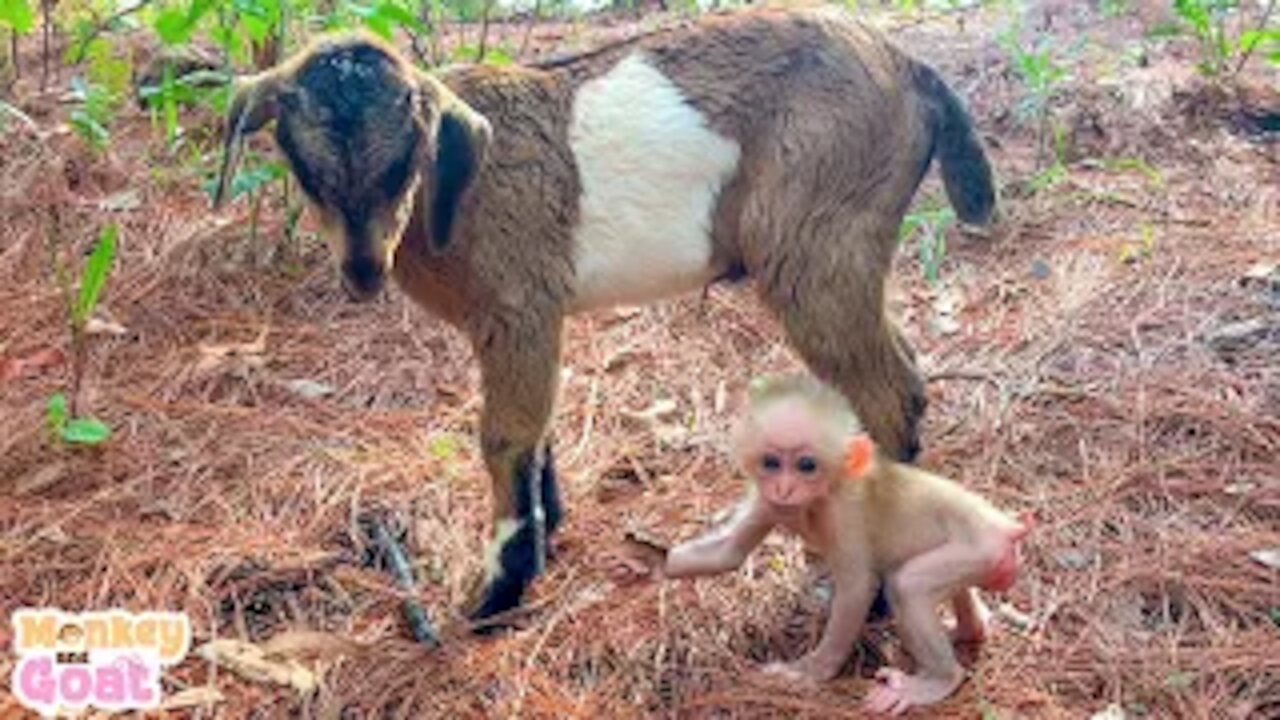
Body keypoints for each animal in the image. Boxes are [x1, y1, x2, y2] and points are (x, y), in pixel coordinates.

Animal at [212, 5, 998, 622]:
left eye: (405, 155)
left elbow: (505, 436)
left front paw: (498, 593)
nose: (362, 272)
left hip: (819, 245)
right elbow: (536, 429)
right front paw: (545, 534)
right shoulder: (530, 321)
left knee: (891, 392)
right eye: (300, 161)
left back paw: (870, 595)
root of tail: (909, 66)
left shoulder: (518, 307)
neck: (452, 195)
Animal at [624, 371, 1034, 712]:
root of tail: (1004, 526)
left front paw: (811, 671)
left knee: (909, 585)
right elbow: (728, 554)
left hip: (978, 549)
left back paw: (937, 680)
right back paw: (971, 630)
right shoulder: (766, 501)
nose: (784, 488)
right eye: (772, 463)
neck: (817, 500)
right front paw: (649, 561)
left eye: (806, 465)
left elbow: (856, 589)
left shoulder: (844, 513)